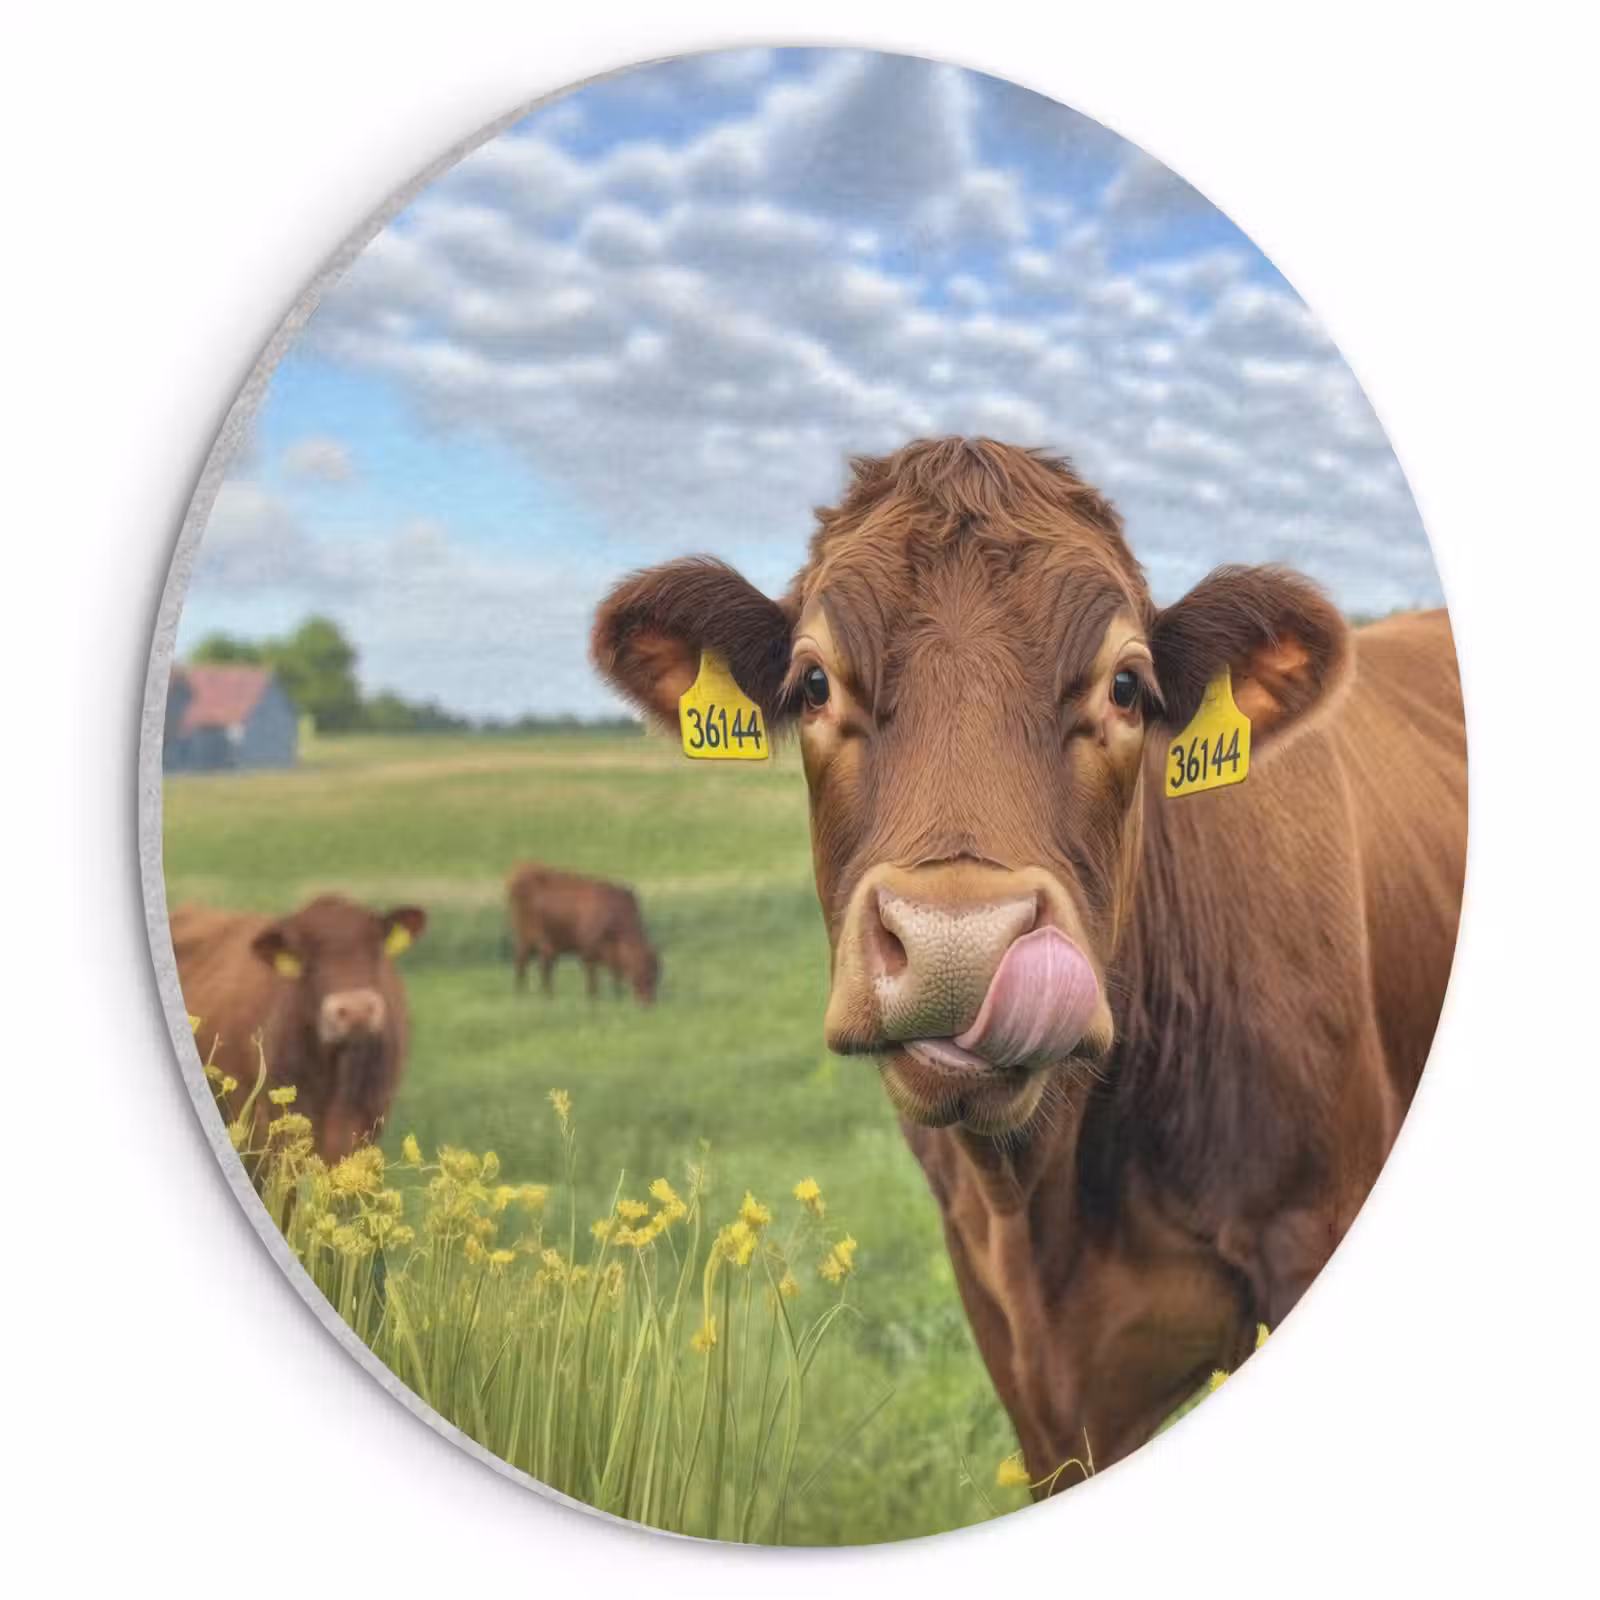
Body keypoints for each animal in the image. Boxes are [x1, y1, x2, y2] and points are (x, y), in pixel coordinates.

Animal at [507, 863, 660, 1006]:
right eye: (640, 973)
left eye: (656, 976)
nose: (648, 1004)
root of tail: (525, 869)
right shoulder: (588, 952)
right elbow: (593, 981)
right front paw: (593, 1000)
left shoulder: (613, 957)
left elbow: (616, 977)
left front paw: (618, 998)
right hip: (527, 940)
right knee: (522, 963)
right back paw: (522, 993)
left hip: (546, 946)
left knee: (544, 968)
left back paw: (546, 996)